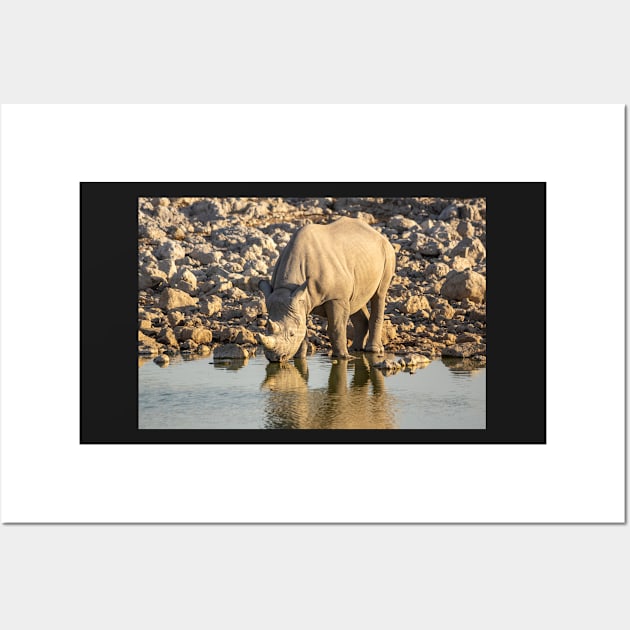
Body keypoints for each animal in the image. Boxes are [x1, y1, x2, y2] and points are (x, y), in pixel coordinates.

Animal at [256, 217, 396, 362]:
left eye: (292, 334)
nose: (275, 358)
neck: (288, 287)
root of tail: (377, 233)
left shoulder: (336, 297)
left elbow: (336, 328)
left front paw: (342, 357)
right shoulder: (300, 300)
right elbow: (303, 329)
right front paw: (300, 358)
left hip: (387, 252)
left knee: (379, 294)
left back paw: (372, 350)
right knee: (356, 300)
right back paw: (355, 349)